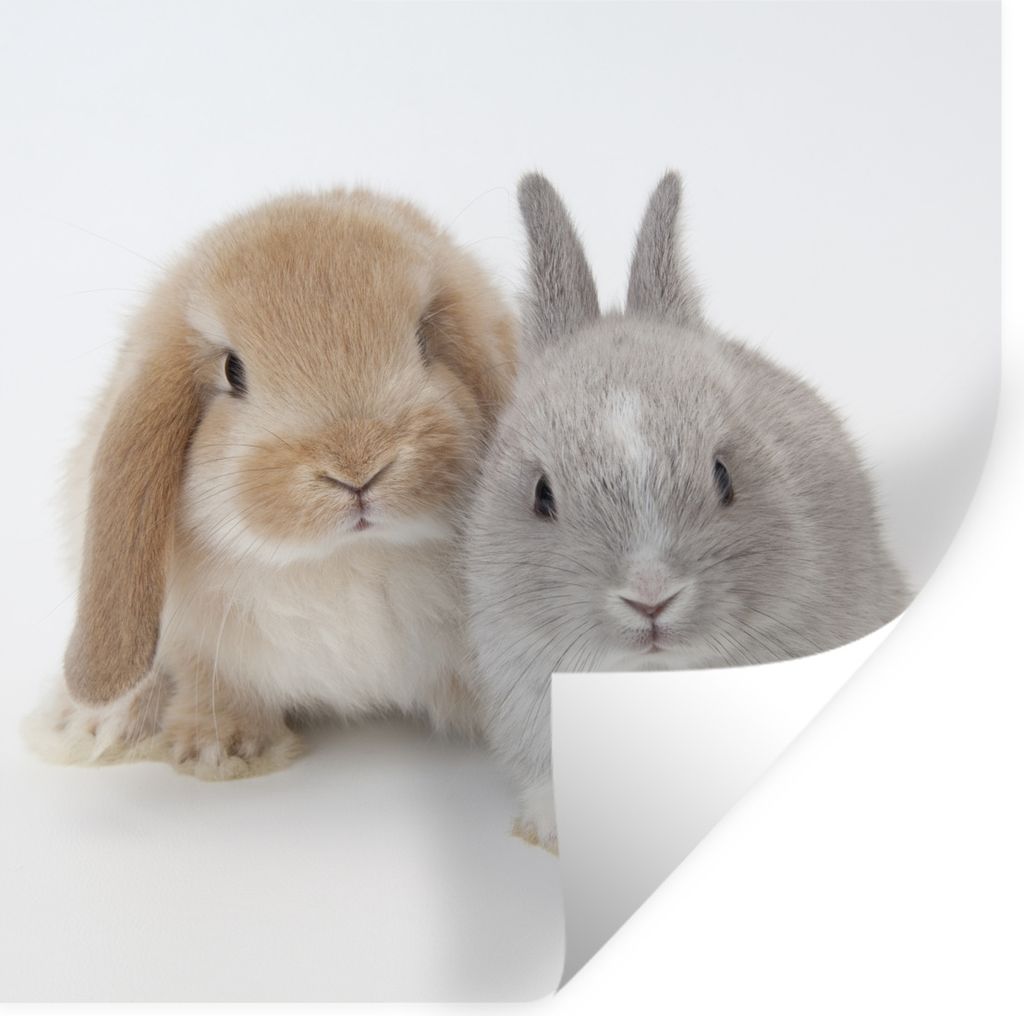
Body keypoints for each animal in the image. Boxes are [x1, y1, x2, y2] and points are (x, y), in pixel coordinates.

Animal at [25, 187, 517, 779]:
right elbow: (209, 682)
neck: (345, 561)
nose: (357, 466)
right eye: (232, 371)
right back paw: (94, 726)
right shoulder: (197, 644)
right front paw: (220, 752)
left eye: (424, 341)